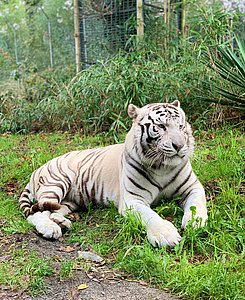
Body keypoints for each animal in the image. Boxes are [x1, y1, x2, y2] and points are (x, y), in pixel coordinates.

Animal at [19, 101, 208, 246]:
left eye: (181, 126)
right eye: (161, 126)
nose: (179, 146)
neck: (163, 167)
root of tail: (36, 170)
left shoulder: (193, 187)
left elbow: (196, 204)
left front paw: (195, 223)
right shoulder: (133, 200)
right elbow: (151, 216)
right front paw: (166, 236)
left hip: (68, 202)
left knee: (53, 210)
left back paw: (62, 223)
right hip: (56, 183)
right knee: (36, 213)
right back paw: (51, 228)